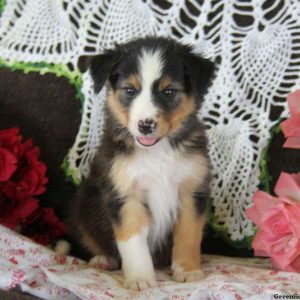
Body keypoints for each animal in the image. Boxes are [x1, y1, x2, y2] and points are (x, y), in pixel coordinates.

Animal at [68, 37, 213, 290]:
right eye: (130, 90)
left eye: (169, 92)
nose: (145, 125)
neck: (156, 151)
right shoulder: (125, 194)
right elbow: (133, 242)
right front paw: (140, 280)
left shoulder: (192, 190)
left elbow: (189, 234)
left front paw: (188, 271)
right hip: (83, 207)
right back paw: (102, 259)